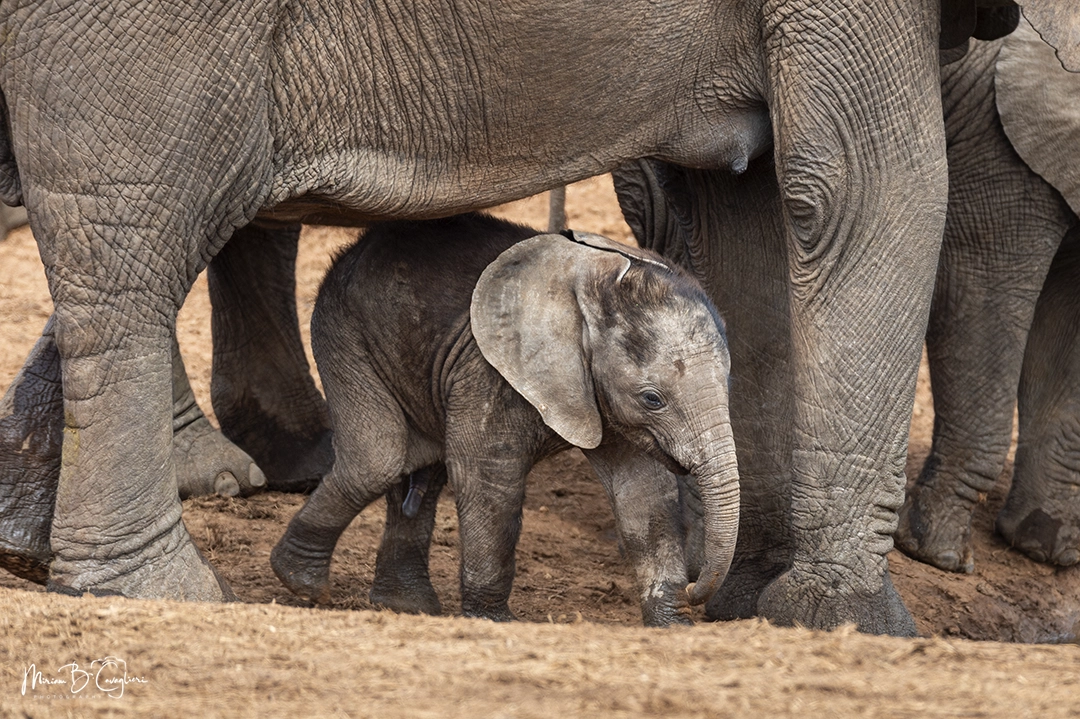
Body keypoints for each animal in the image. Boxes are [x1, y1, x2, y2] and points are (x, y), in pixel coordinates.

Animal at [271, 214, 739, 626]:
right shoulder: (489, 369)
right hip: (343, 330)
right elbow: (488, 474)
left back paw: (406, 607)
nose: (695, 589)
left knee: (420, 468)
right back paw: (301, 583)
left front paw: (673, 625)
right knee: (379, 459)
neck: (589, 287)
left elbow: (643, 492)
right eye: (652, 399)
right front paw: (494, 620)